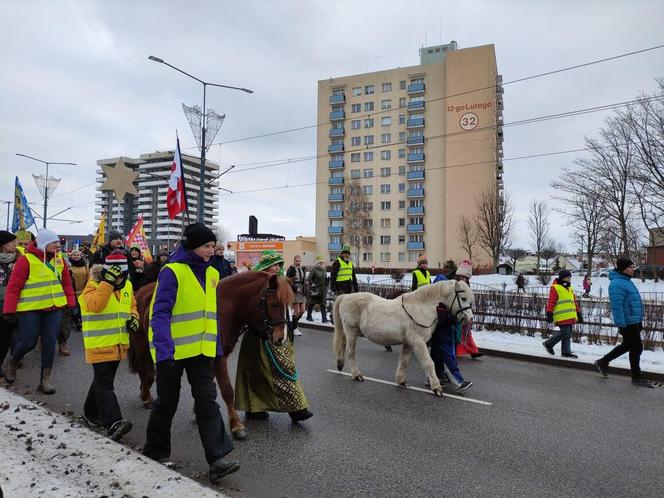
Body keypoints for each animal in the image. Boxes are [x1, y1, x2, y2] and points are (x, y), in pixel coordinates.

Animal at [130, 272, 294, 440]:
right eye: (273, 304)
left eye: (288, 305)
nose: (281, 338)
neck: (222, 310)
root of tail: (141, 291)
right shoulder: (218, 359)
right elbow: (227, 391)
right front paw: (236, 425)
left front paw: (197, 412)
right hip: (141, 342)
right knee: (143, 369)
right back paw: (146, 397)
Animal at [334, 280, 474, 396]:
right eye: (463, 298)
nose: (470, 318)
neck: (420, 308)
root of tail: (346, 296)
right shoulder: (418, 342)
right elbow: (429, 363)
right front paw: (436, 388)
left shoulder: (409, 343)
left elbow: (405, 361)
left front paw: (401, 381)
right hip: (351, 331)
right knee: (351, 352)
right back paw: (356, 375)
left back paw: (340, 364)